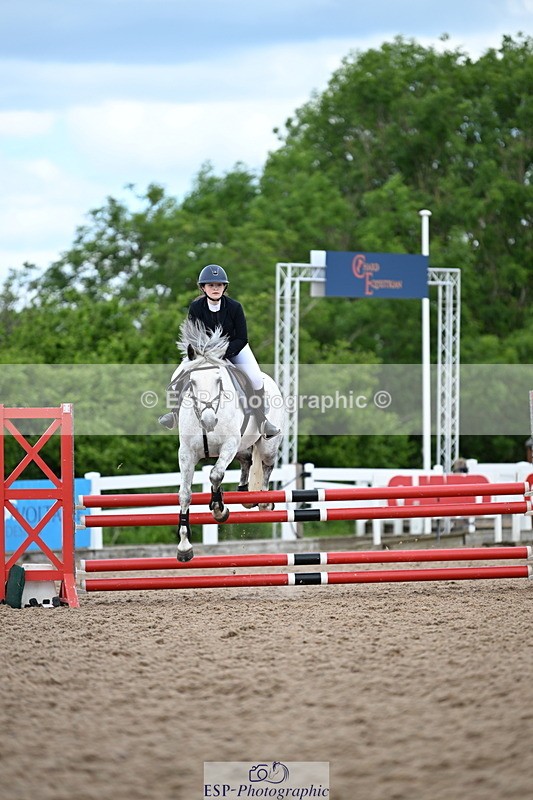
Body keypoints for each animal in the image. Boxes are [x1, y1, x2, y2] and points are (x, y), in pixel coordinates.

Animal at [170, 318, 284, 562]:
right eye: (192, 382)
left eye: (218, 380)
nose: (209, 421)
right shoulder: (186, 454)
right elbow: (185, 494)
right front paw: (184, 546)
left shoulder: (228, 446)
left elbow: (215, 474)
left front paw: (219, 509)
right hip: (242, 447)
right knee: (246, 461)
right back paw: (244, 493)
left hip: (267, 445)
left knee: (267, 465)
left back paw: (263, 500)